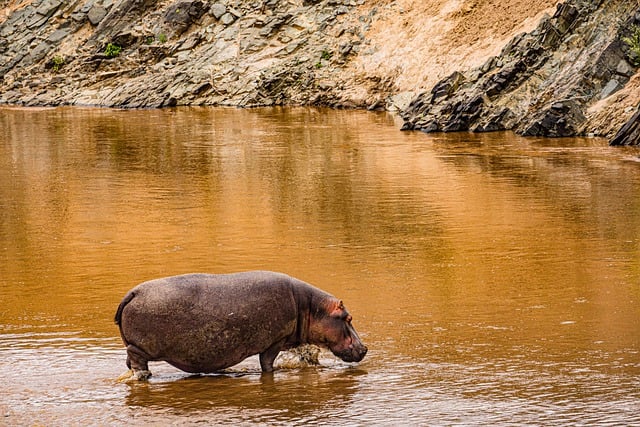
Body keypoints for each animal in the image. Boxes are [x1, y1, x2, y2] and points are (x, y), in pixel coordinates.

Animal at [113, 272, 368, 380]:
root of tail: (132, 293)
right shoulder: (274, 341)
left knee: (128, 361)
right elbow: (267, 363)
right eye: (347, 318)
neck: (311, 307)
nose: (364, 348)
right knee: (136, 360)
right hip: (141, 347)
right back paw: (144, 376)